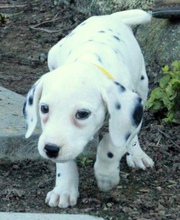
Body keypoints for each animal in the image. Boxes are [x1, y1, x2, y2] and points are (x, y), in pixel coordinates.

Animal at [23, 9, 154, 208]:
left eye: (82, 114)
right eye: (44, 108)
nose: (50, 149)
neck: (91, 59)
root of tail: (110, 17)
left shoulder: (128, 115)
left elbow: (111, 144)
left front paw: (106, 176)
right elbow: (65, 161)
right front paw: (64, 189)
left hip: (142, 86)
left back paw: (137, 154)